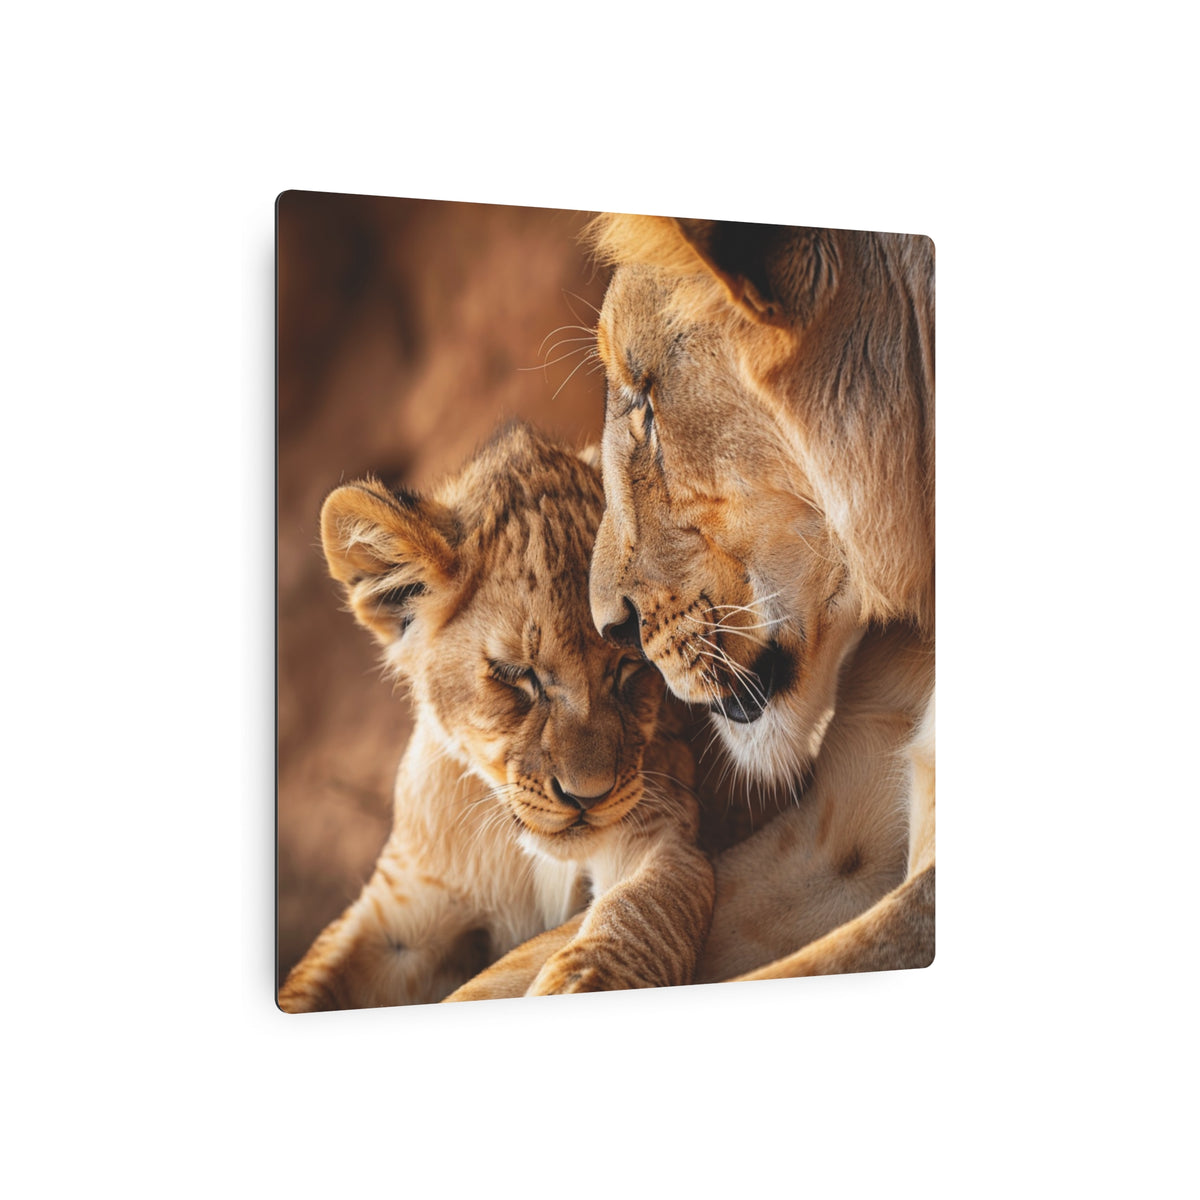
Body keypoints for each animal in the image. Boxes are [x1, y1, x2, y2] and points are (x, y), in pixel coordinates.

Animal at [277, 422, 714, 1012]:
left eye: (629, 663)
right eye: (515, 674)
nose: (588, 797)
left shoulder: (667, 841)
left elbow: (638, 914)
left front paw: (576, 984)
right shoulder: (397, 919)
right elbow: (308, 981)